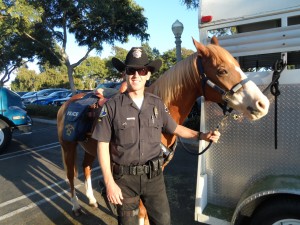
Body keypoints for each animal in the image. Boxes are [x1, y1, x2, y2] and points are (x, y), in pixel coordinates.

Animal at [56, 36, 270, 223]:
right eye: (222, 70)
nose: (262, 104)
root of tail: (67, 103)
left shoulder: (157, 170)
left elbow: (146, 210)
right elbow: (139, 209)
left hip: (90, 148)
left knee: (86, 168)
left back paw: (92, 200)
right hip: (68, 147)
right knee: (71, 176)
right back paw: (76, 206)